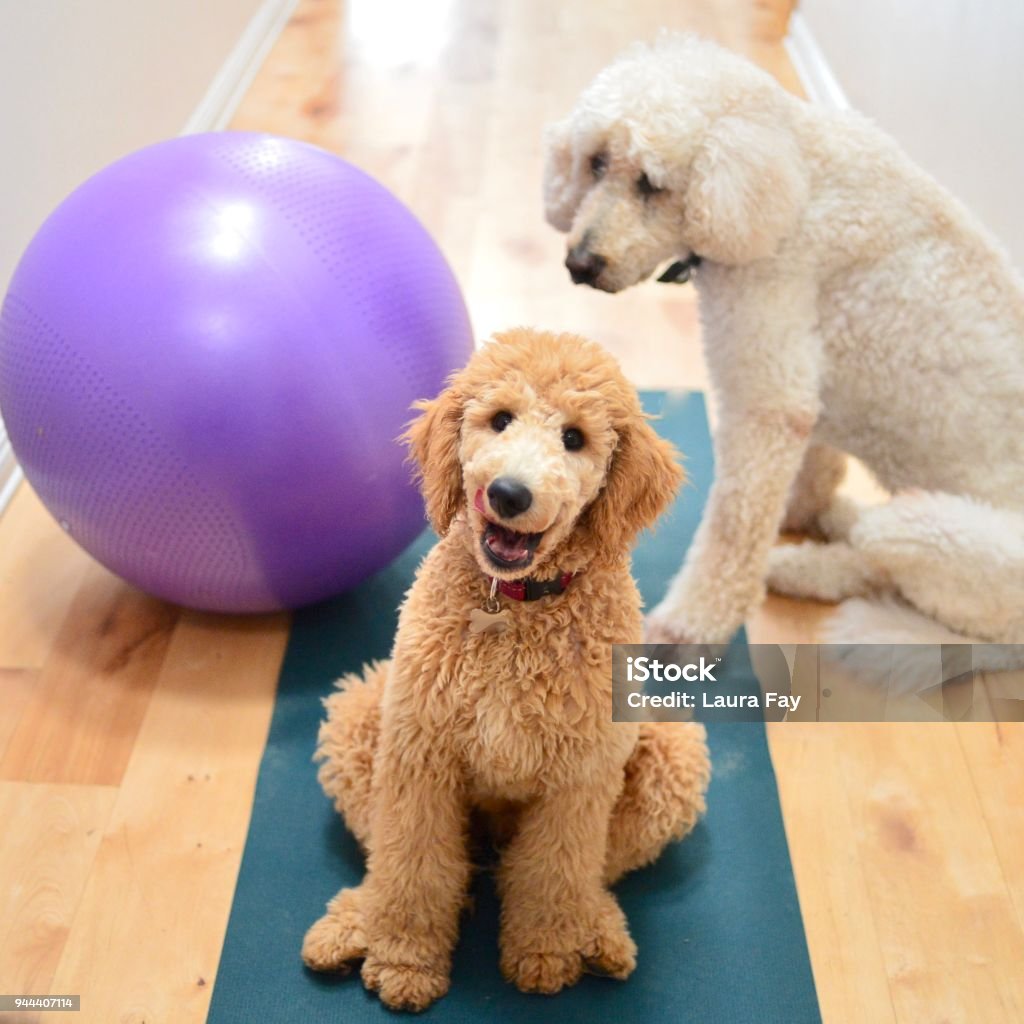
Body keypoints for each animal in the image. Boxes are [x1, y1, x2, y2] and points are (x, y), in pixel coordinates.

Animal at [299, 325, 708, 1007]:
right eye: (499, 419)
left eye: (574, 438)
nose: (509, 493)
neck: (512, 607)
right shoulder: (420, 755)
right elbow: (409, 865)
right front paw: (405, 959)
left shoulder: (579, 776)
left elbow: (554, 873)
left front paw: (542, 954)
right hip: (360, 717)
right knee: (387, 856)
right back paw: (357, 920)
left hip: (668, 756)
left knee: (593, 873)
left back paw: (596, 929)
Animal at [544, 36, 1024, 643]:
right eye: (597, 163)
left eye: (651, 183)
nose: (579, 264)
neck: (790, 173)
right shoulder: (807, 382)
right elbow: (813, 464)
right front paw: (800, 506)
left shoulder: (767, 396)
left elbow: (735, 524)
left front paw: (691, 623)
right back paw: (827, 530)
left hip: (933, 530)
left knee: (889, 571)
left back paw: (799, 565)